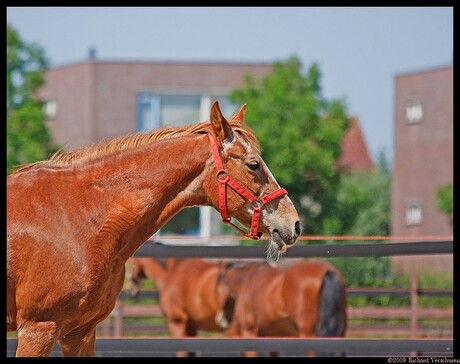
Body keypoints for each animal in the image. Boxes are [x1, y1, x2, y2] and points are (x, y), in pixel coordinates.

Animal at [217, 258, 346, 356]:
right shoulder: (274, 337)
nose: (221, 318)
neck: (247, 279)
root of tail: (327, 271)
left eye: (219, 284)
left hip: (308, 335)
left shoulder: (249, 333)